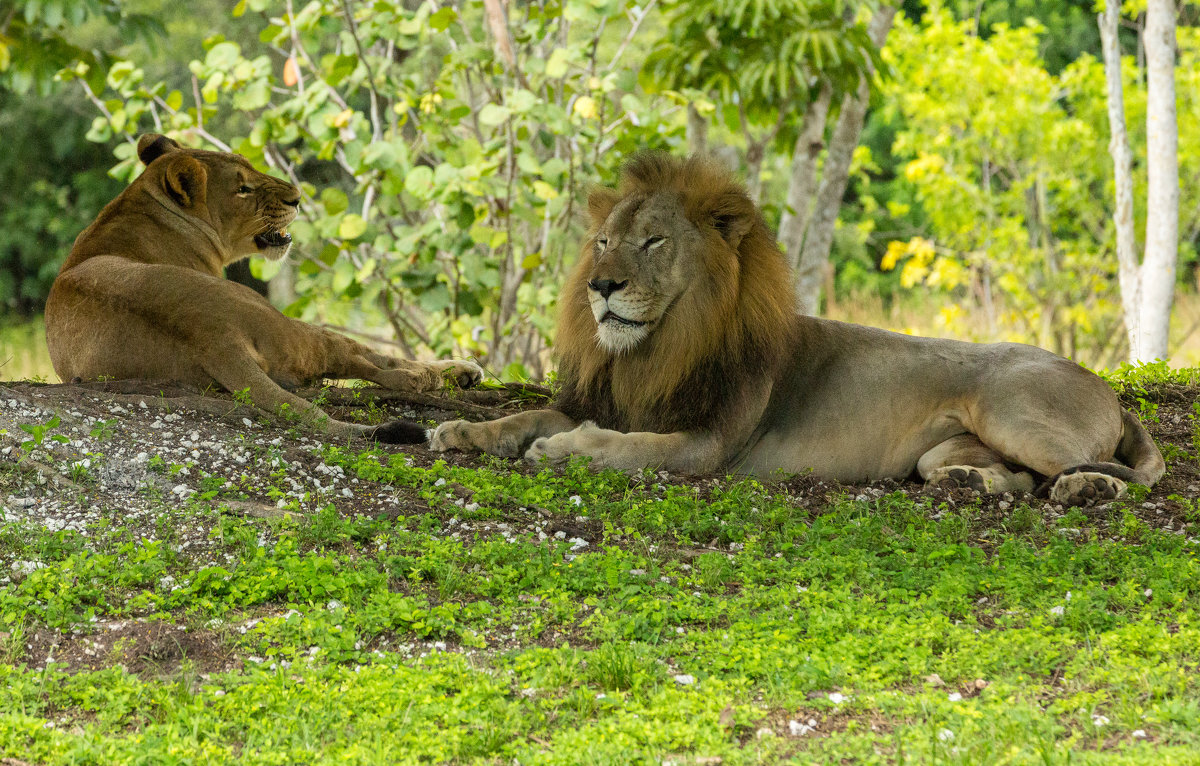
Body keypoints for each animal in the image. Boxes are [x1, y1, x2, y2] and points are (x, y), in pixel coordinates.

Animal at [46, 135, 477, 441]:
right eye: (243, 189)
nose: (298, 198)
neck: (139, 204)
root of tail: (212, 338)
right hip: (286, 323)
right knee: (369, 362)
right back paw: (451, 374)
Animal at [432, 153, 1161, 506]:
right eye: (604, 242)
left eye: (654, 241)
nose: (599, 286)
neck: (653, 350)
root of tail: (1108, 389)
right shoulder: (616, 401)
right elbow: (525, 415)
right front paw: (461, 431)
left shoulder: (707, 445)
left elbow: (622, 448)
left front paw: (564, 450)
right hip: (946, 450)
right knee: (1011, 480)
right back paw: (969, 486)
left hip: (1010, 411)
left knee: (1118, 478)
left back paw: (1086, 488)